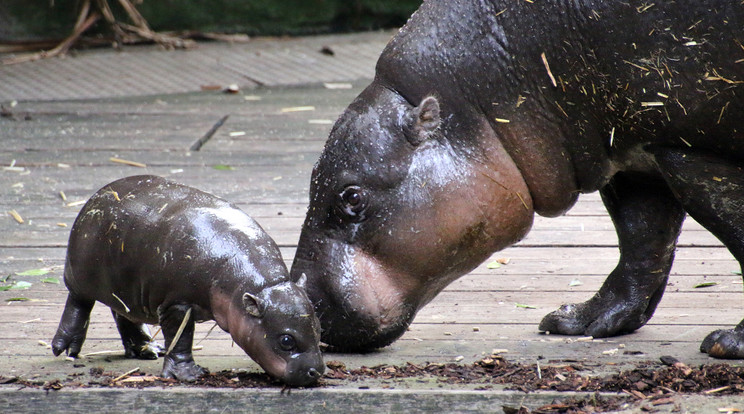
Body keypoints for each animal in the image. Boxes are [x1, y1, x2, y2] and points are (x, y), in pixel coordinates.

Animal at [53, 174, 326, 384]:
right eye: (286, 340)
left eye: (319, 327)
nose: (317, 371)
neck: (256, 285)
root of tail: (96, 195)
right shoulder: (176, 304)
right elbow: (180, 338)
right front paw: (190, 375)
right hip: (80, 275)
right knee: (78, 303)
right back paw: (66, 349)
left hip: (125, 287)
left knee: (123, 314)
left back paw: (148, 350)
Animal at [292, 0, 744, 356]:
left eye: (352, 197)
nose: (301, 303)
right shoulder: (631, 147)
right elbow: (641, 240)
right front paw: (578, 321)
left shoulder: (686, 149)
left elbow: (731, 229)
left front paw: (728, 344)